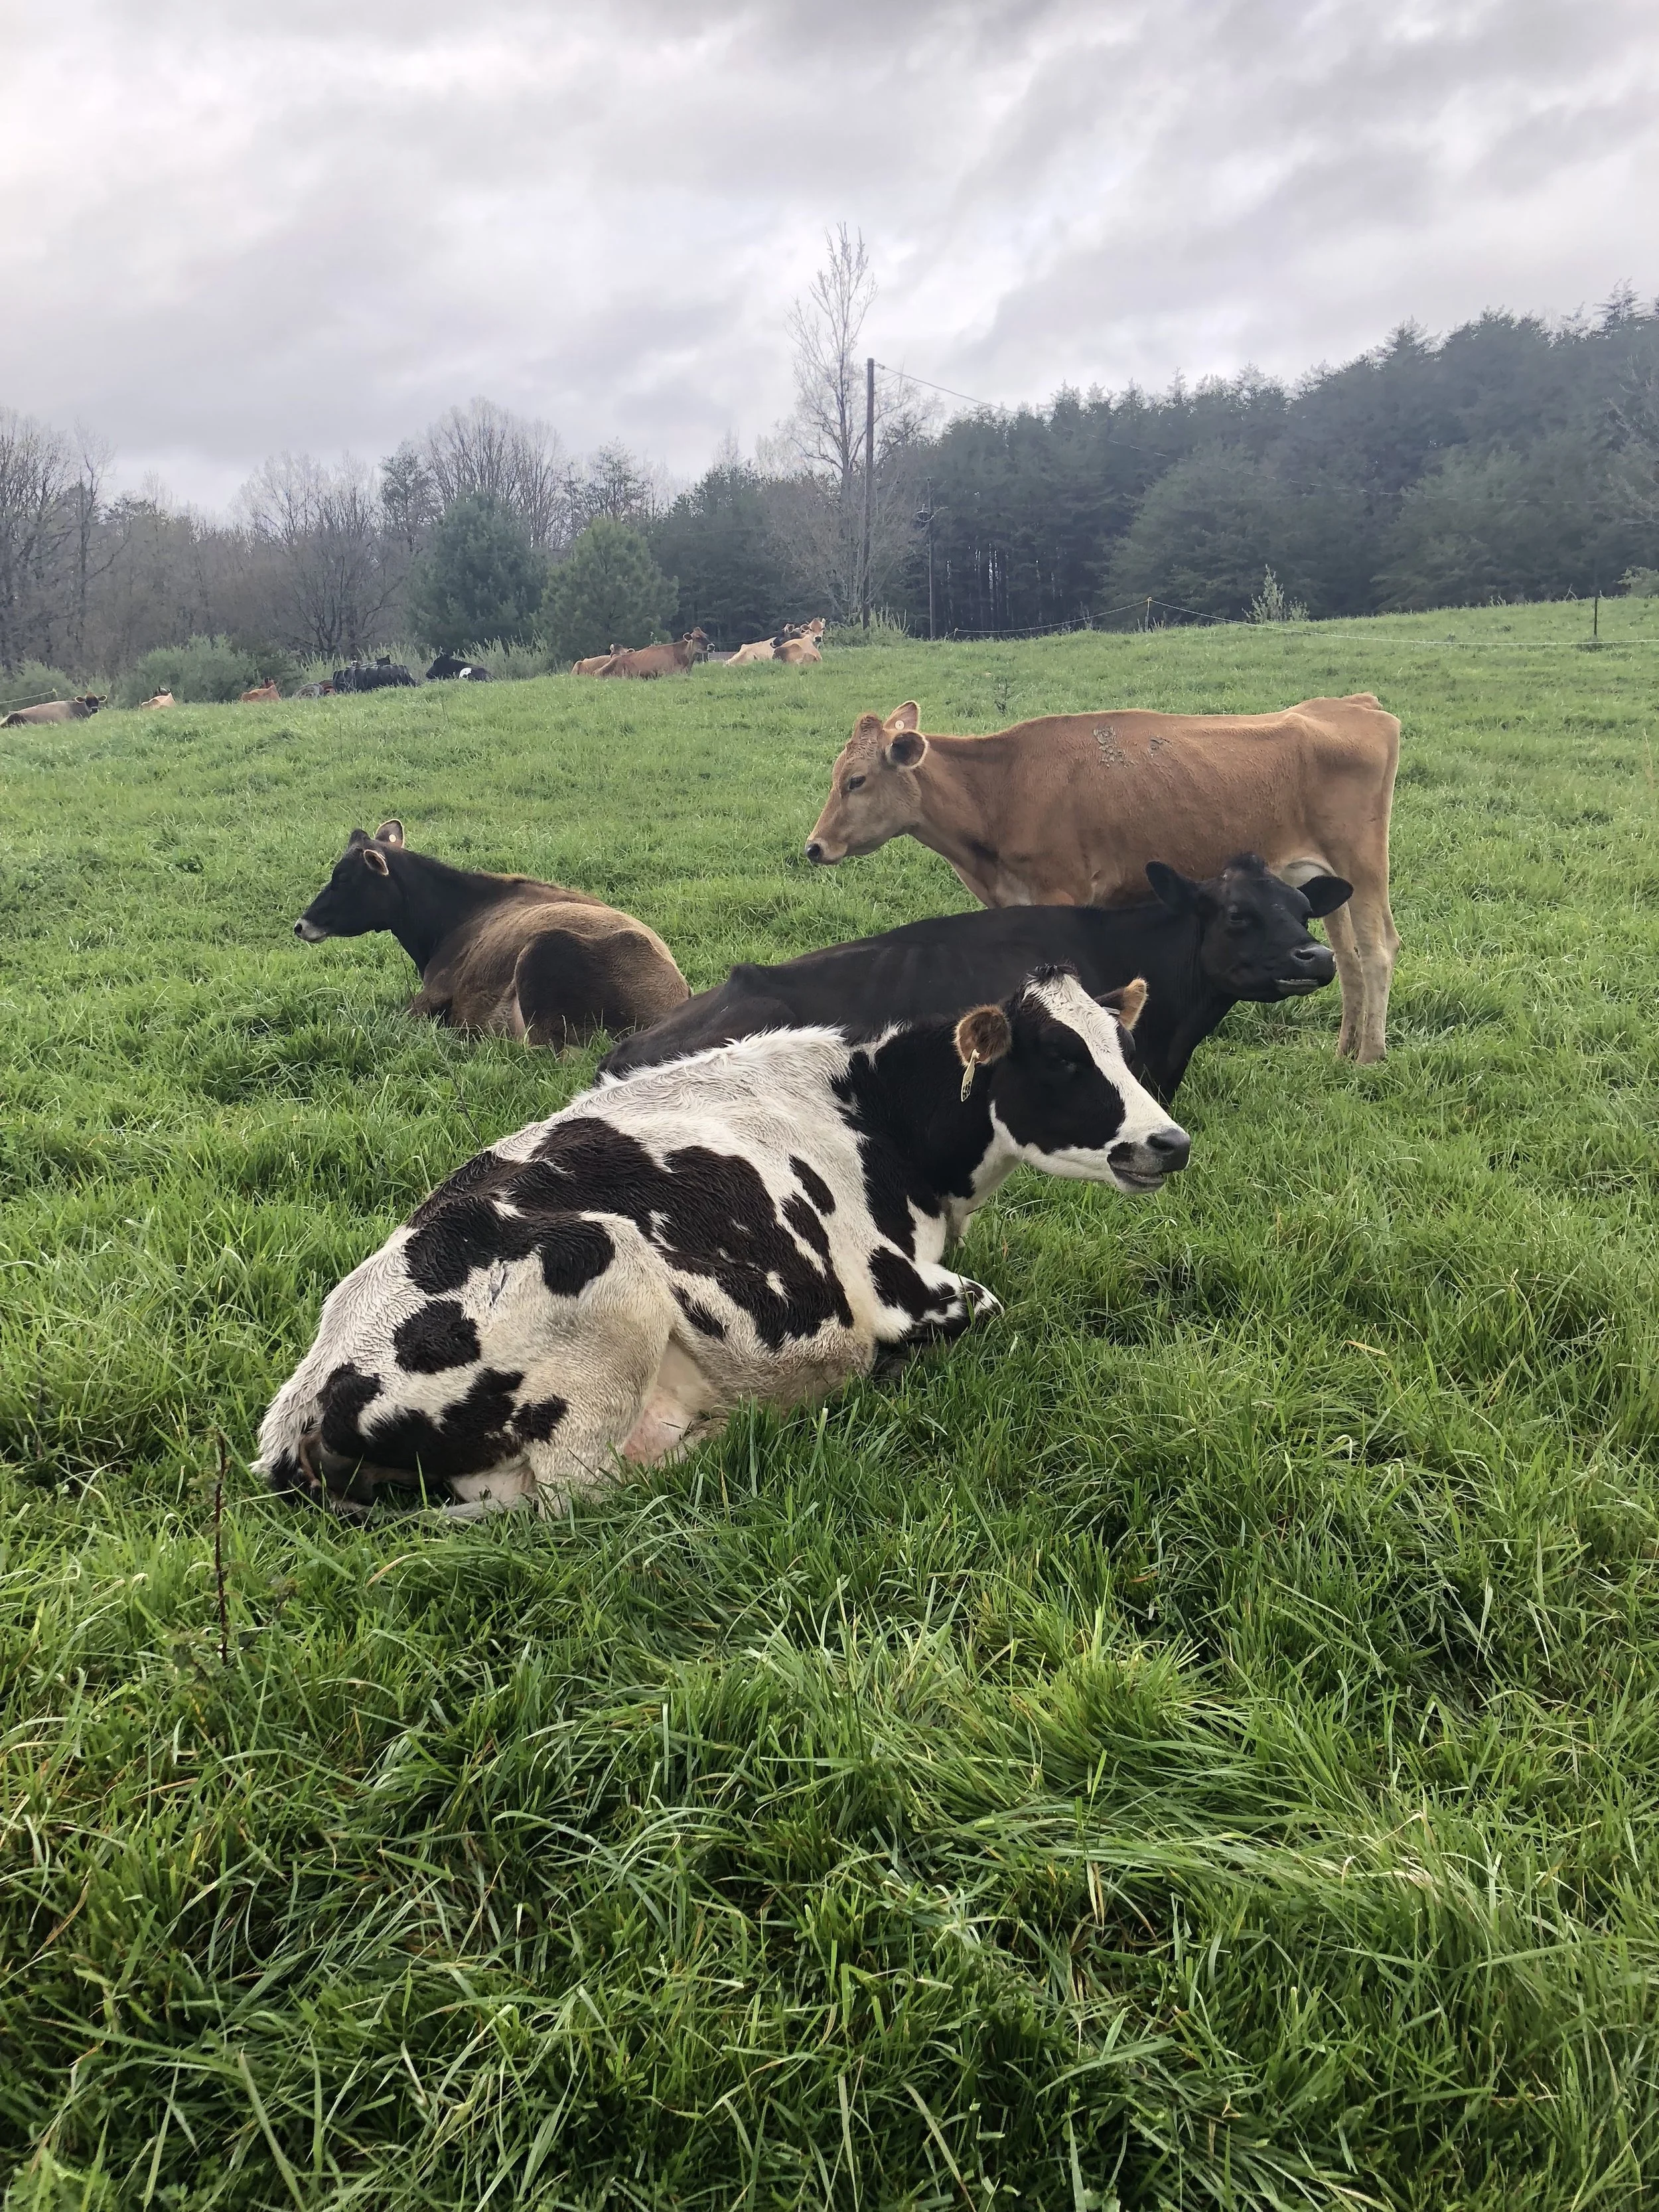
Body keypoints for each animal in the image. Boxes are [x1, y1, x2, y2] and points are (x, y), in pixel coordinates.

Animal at [256, 964, 1190, 1518]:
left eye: (1125, 1046)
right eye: (1061, 1060)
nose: (1170, 1142)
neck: (875, 1110)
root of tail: (302, 1404)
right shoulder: (896, 1288)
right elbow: (982, 1306)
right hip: (603, 1276)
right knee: (578, 1493)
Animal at [804, 694, 1400, 1062]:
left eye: (855, 780)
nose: (814, 846)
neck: (1000, 790)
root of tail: (1356, 705)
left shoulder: (1059, 891)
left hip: (1364, 862)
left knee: (1378, 950)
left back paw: (1369, 1056)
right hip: (1320, 878)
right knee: (1345, 957)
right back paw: (1343, 1050)